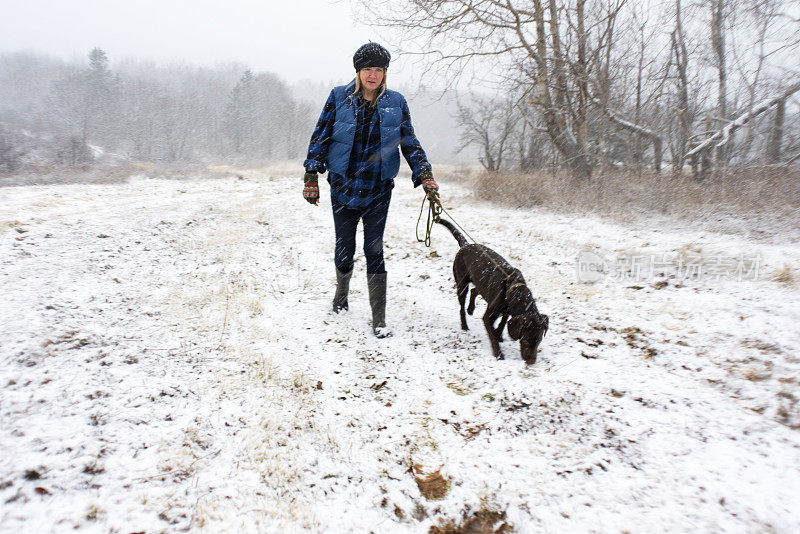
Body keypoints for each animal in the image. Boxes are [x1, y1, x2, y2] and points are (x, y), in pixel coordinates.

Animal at [438, 219, 552, 364]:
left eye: (538, 341)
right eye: (525, 341)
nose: (531, 362)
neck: (516, 291)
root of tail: (465, 245)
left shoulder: (508, 311)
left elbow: (503, 323)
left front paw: (500, 335)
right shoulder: (488, 317)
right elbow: (491, 333)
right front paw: (498, 353)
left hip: (481, 284)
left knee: (475, 290)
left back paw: (471, 309)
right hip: (461, 284)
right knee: (462, 306)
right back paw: (464, 324)